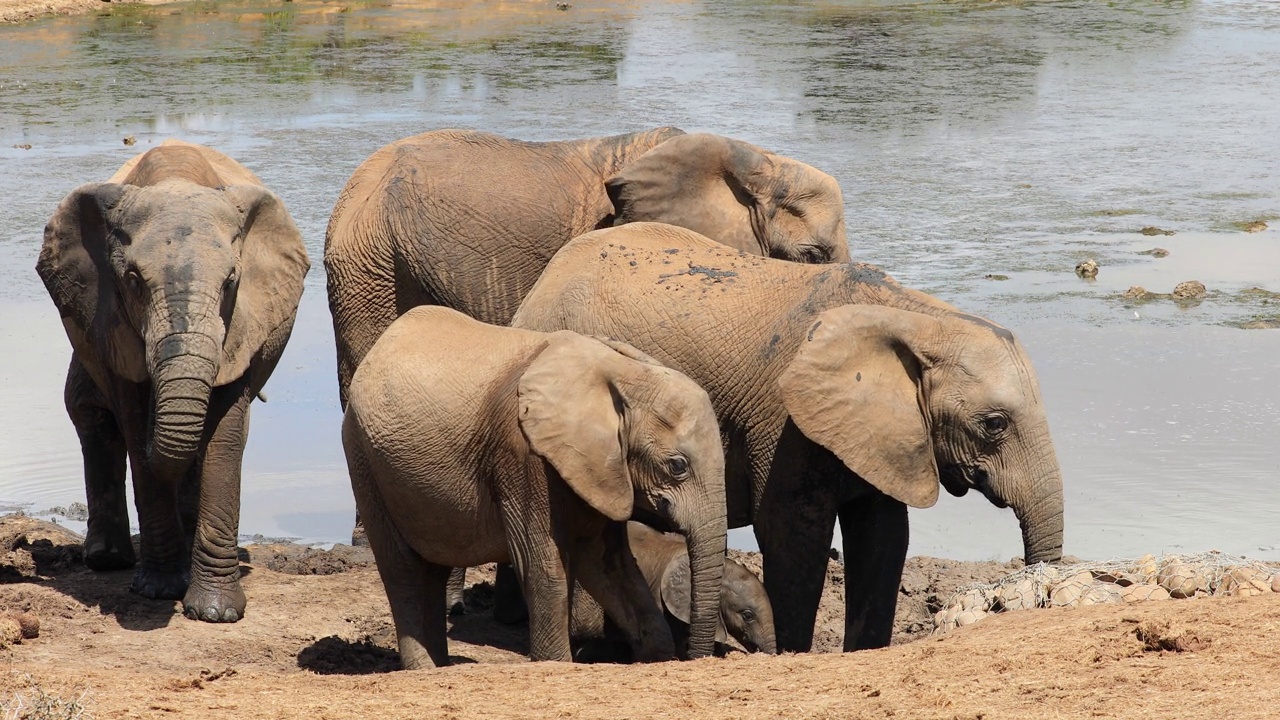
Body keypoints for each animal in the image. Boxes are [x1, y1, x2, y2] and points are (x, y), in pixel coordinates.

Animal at [35, 137, 309, 620]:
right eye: (132, 280)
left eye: (231, 281)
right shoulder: (108, 317)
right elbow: (131, 420)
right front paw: (161, 591)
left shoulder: (244, 323)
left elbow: (225, 433)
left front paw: (216, 613)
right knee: (90, 414)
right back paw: (108, 560)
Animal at [340, 303, 732, 666]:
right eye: (677, 466)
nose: (699, 656)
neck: (624, 373)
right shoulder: (524, 455)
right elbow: (543, 563)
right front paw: (556, 663)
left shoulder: (600, 469)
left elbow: (608, 562)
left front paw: (655, 654)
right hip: (363, 458)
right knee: (402, 570)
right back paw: (426, 668)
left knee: (432, 570)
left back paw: (441, 665)